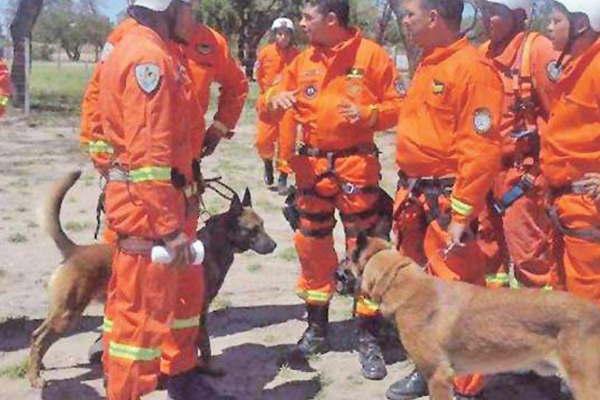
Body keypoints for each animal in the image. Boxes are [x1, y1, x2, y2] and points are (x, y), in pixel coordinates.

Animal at [29, 171, 278, 388]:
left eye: (264, 225)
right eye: (253, 230)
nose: (274, 245)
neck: (213, 246)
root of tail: (75, 250)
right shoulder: (198, 313)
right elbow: (205, 344)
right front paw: (208, 368)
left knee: (37, 336)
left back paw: (39, 366)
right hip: (67, 315)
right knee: (39, 338)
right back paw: (35, 377)